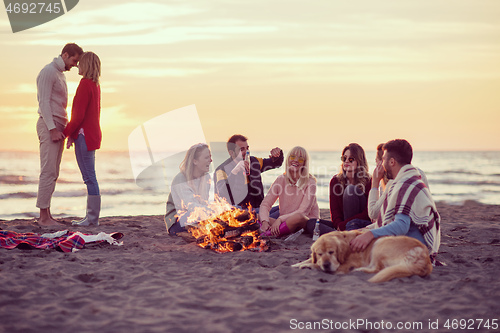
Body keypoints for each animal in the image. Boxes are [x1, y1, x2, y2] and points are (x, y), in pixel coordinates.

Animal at [292, 230, 432, 282]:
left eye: (331, 252)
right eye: (319, 254)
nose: (326, 264)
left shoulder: (342, 266)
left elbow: (317, 265)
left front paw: (309, 266)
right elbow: (310, 259)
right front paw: (297, 264)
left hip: (380, 243)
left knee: (378, 269)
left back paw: (359, 270)